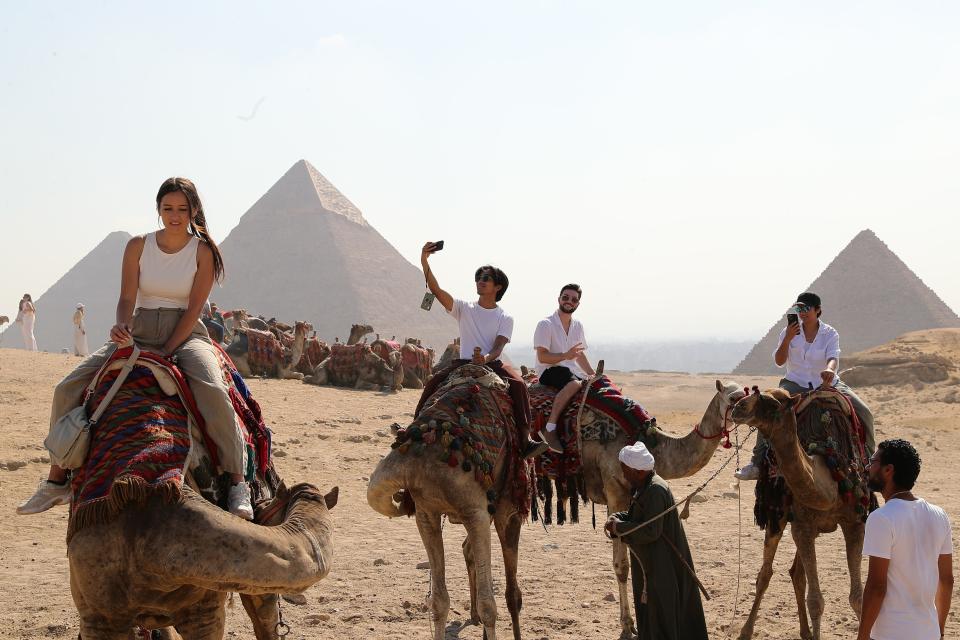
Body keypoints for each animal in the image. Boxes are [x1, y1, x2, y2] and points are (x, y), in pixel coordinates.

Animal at [368, 364, 528, 640]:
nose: (402, 496)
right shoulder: (427, 513)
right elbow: (439, 600)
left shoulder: (477, 511)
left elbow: (489, 604)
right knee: (473, 555)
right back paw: (473, 617)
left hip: (505, 506)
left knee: (511, 590)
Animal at [732, 384, 868, 640]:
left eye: (775, 404)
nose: (737, 407)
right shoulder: (802, 525)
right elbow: (815, 601)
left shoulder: (854, 522)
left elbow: (857, 598)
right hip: (778, 517)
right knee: (765, 574)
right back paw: (745, 631)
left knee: (796, 574)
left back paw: (805, 632)